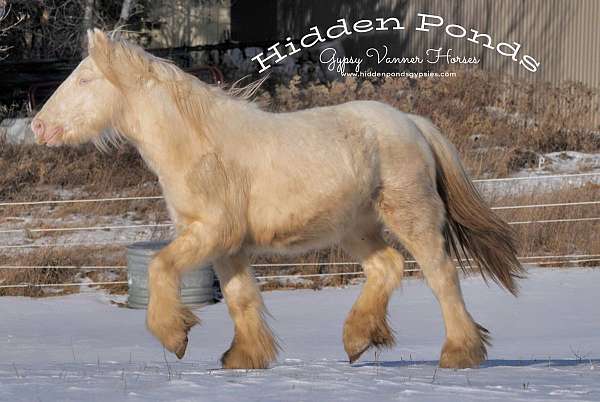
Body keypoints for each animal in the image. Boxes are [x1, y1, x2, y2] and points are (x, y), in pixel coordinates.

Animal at [31, 29, 524, 370]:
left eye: (86, 79)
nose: (38, 126)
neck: (199, 146)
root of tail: (412, 122)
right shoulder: (225, 245)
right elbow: (240, 299)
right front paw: (244, 358)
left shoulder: (211, 232)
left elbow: (158, 266)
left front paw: (175, 336)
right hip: (355, 226)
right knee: (387, 266)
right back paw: (358, 340)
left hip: (411, 216)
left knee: (441, 275)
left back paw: (459, 353)